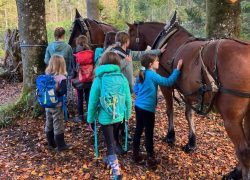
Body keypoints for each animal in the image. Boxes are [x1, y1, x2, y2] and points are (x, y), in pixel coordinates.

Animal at [129, 13, 250, 179]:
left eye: (129, 32)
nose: (126, 49)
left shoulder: (165, 86)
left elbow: (170, 111)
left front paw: (171, 136)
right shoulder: (188, 92)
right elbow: (189, 115)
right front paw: (191, 142)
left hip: (231, 118)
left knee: (243, 150)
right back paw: (235, 172)